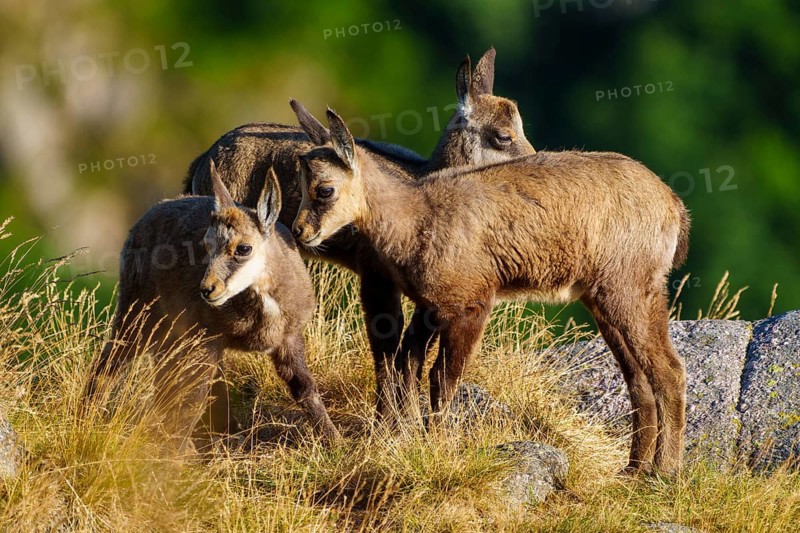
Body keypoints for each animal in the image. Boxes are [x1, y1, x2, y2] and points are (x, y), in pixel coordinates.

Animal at [88, 160, 339, 450]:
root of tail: (141, 221)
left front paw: (334, 440)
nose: (207, 290)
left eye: (243, 248)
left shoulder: (289, 338)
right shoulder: (207, 340)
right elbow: (194, 398)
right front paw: (177, 454)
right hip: (138, 313)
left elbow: (305, 388)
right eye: (207, 245)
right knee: (109, 366)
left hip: (169, 334)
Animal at [183, 48, 537, 421]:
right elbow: (386, 342)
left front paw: (406, 416)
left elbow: (413, 349)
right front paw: (388, 420)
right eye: (503, 135)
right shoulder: (375, 275)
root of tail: (202, 160)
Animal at [290, 106, 691, 476]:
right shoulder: (431, 309)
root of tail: (674, 206)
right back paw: (633, 469)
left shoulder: (472, 304)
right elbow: (408, 366)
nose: (298, 232)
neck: (417, 217)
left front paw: (437, 444)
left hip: (630, 290)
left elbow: (441, 378)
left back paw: (665, 471)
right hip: (603, 299)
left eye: (324, 190)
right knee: (638, 379)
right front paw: (409, 437)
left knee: (669, 370)